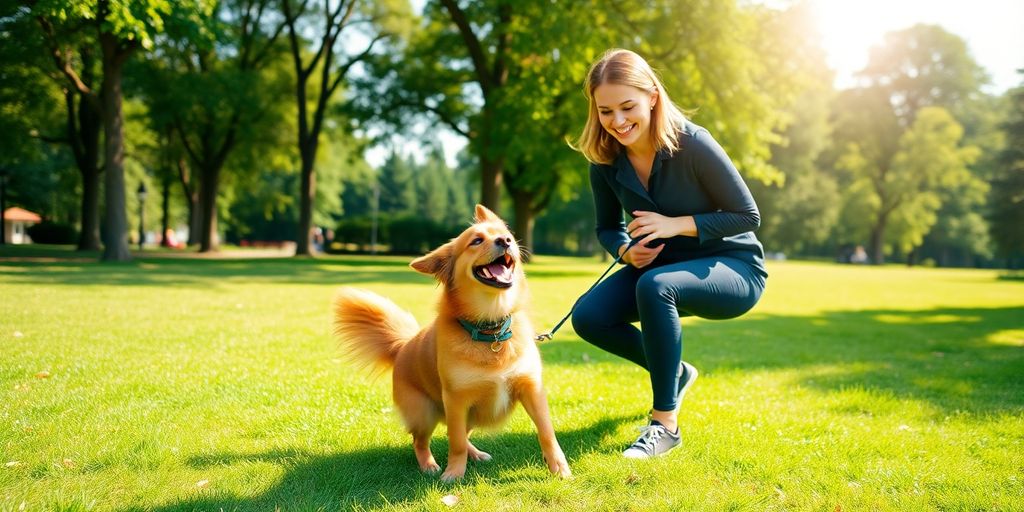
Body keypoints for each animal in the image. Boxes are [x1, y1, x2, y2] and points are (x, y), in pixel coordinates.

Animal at [335, 202, 577, 479]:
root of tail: (404, 346)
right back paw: (429, 464)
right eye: (476, 241)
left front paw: (559, 468)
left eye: (507, 235)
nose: (505, 241)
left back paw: (476, 454)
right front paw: (454, 473)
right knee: (421, 441)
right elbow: (456, 441)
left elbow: (547, 432)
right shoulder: (456, 400)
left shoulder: (532, 389)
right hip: (425, 412)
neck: (491, 329)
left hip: (470, 413)